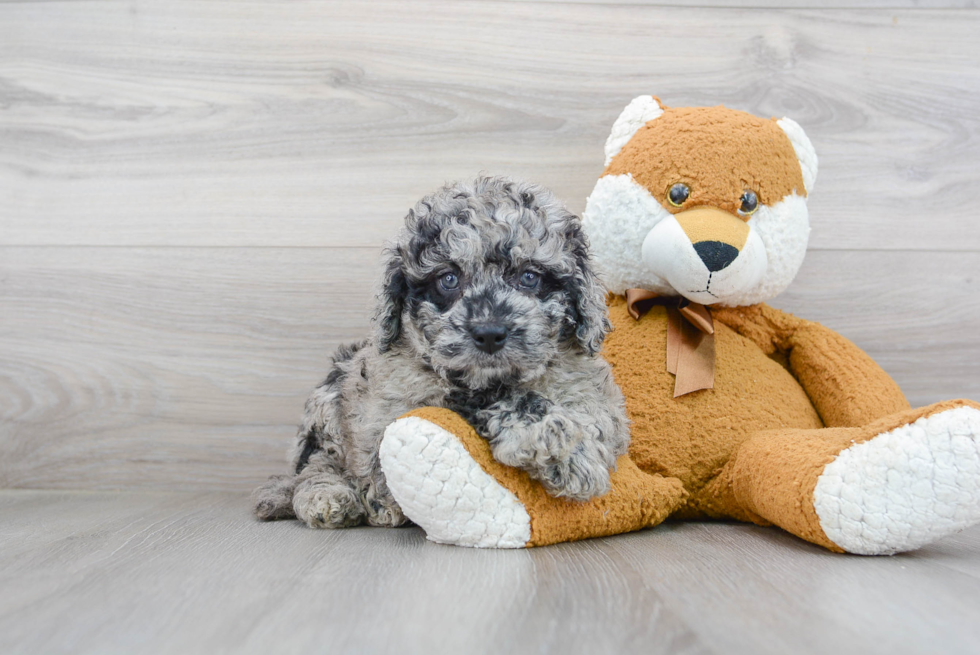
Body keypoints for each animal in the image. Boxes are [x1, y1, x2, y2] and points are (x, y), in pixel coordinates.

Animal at [253, 177, 628, 532]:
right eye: (448, 278)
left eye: (529, 277)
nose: (489, 333)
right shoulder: (410, 401)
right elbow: (483, 398)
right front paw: (563, 448)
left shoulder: (598, 399)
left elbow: (595, 420)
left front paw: (576, 449)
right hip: (328, 403)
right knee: (314, 466)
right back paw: (332, 499)